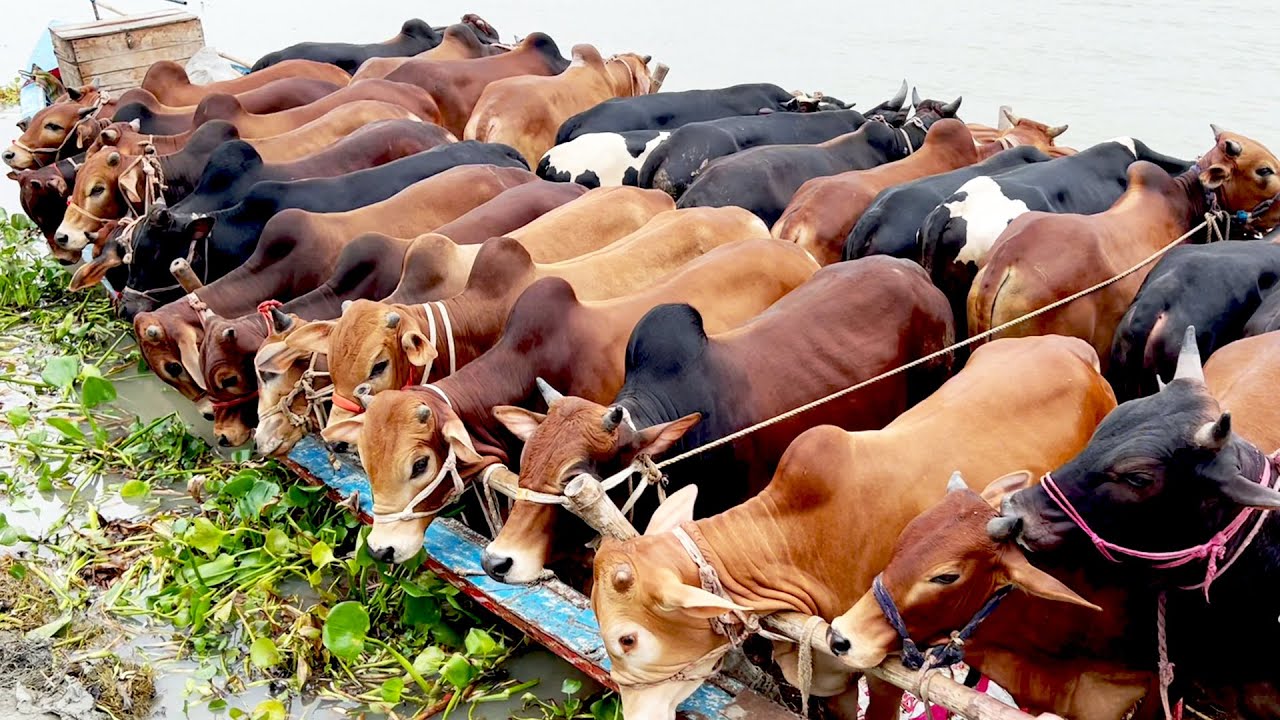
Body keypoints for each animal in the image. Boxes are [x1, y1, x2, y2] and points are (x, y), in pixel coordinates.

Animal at [588, 334, 1115, 719]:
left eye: (628, 640)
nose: (632, 714)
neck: (800, 543)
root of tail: (1073, 348)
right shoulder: (828, 665)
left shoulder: (884, 670)